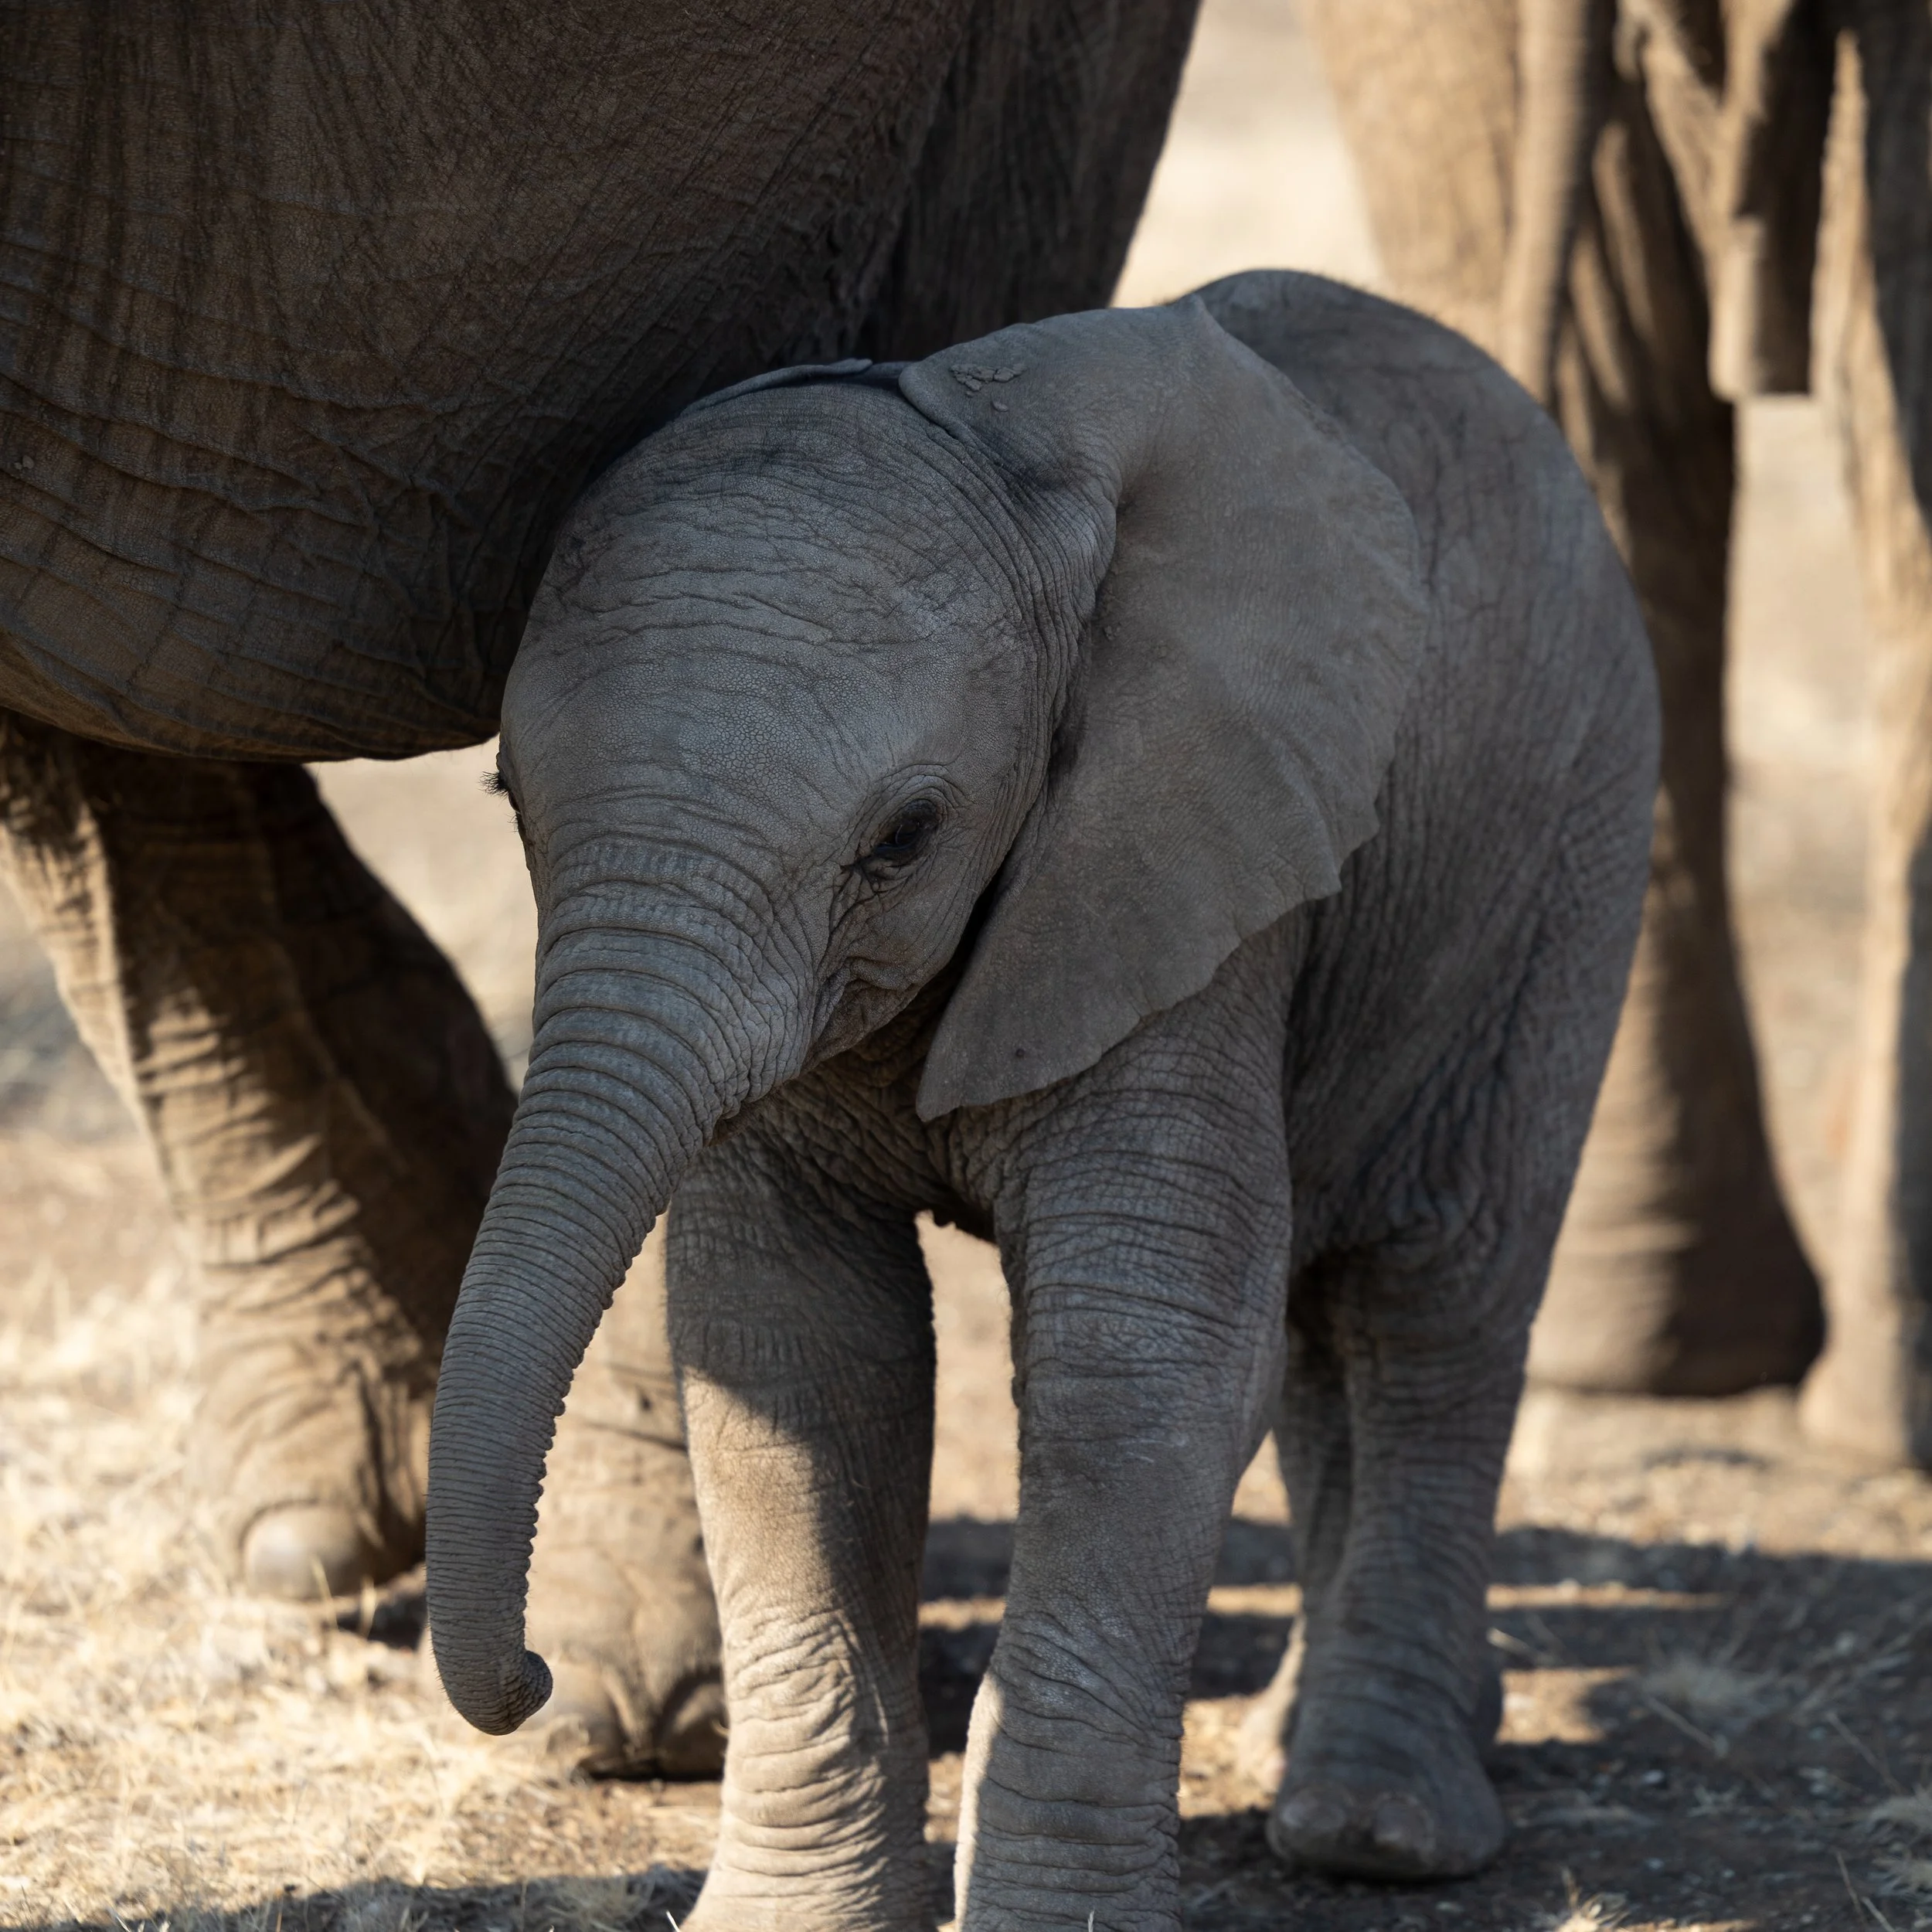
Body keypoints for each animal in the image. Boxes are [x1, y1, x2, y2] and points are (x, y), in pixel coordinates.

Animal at [422, 270, 1658, 1920]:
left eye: (904, 839)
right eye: (509, 800)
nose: (535, 1684)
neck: (997, 457)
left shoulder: (1190, 870)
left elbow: (1136, 1358)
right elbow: (801, 1353)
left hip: (1569, 844)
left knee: (1435, 1293)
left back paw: (1374, 1829)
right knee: (1323, 1322)